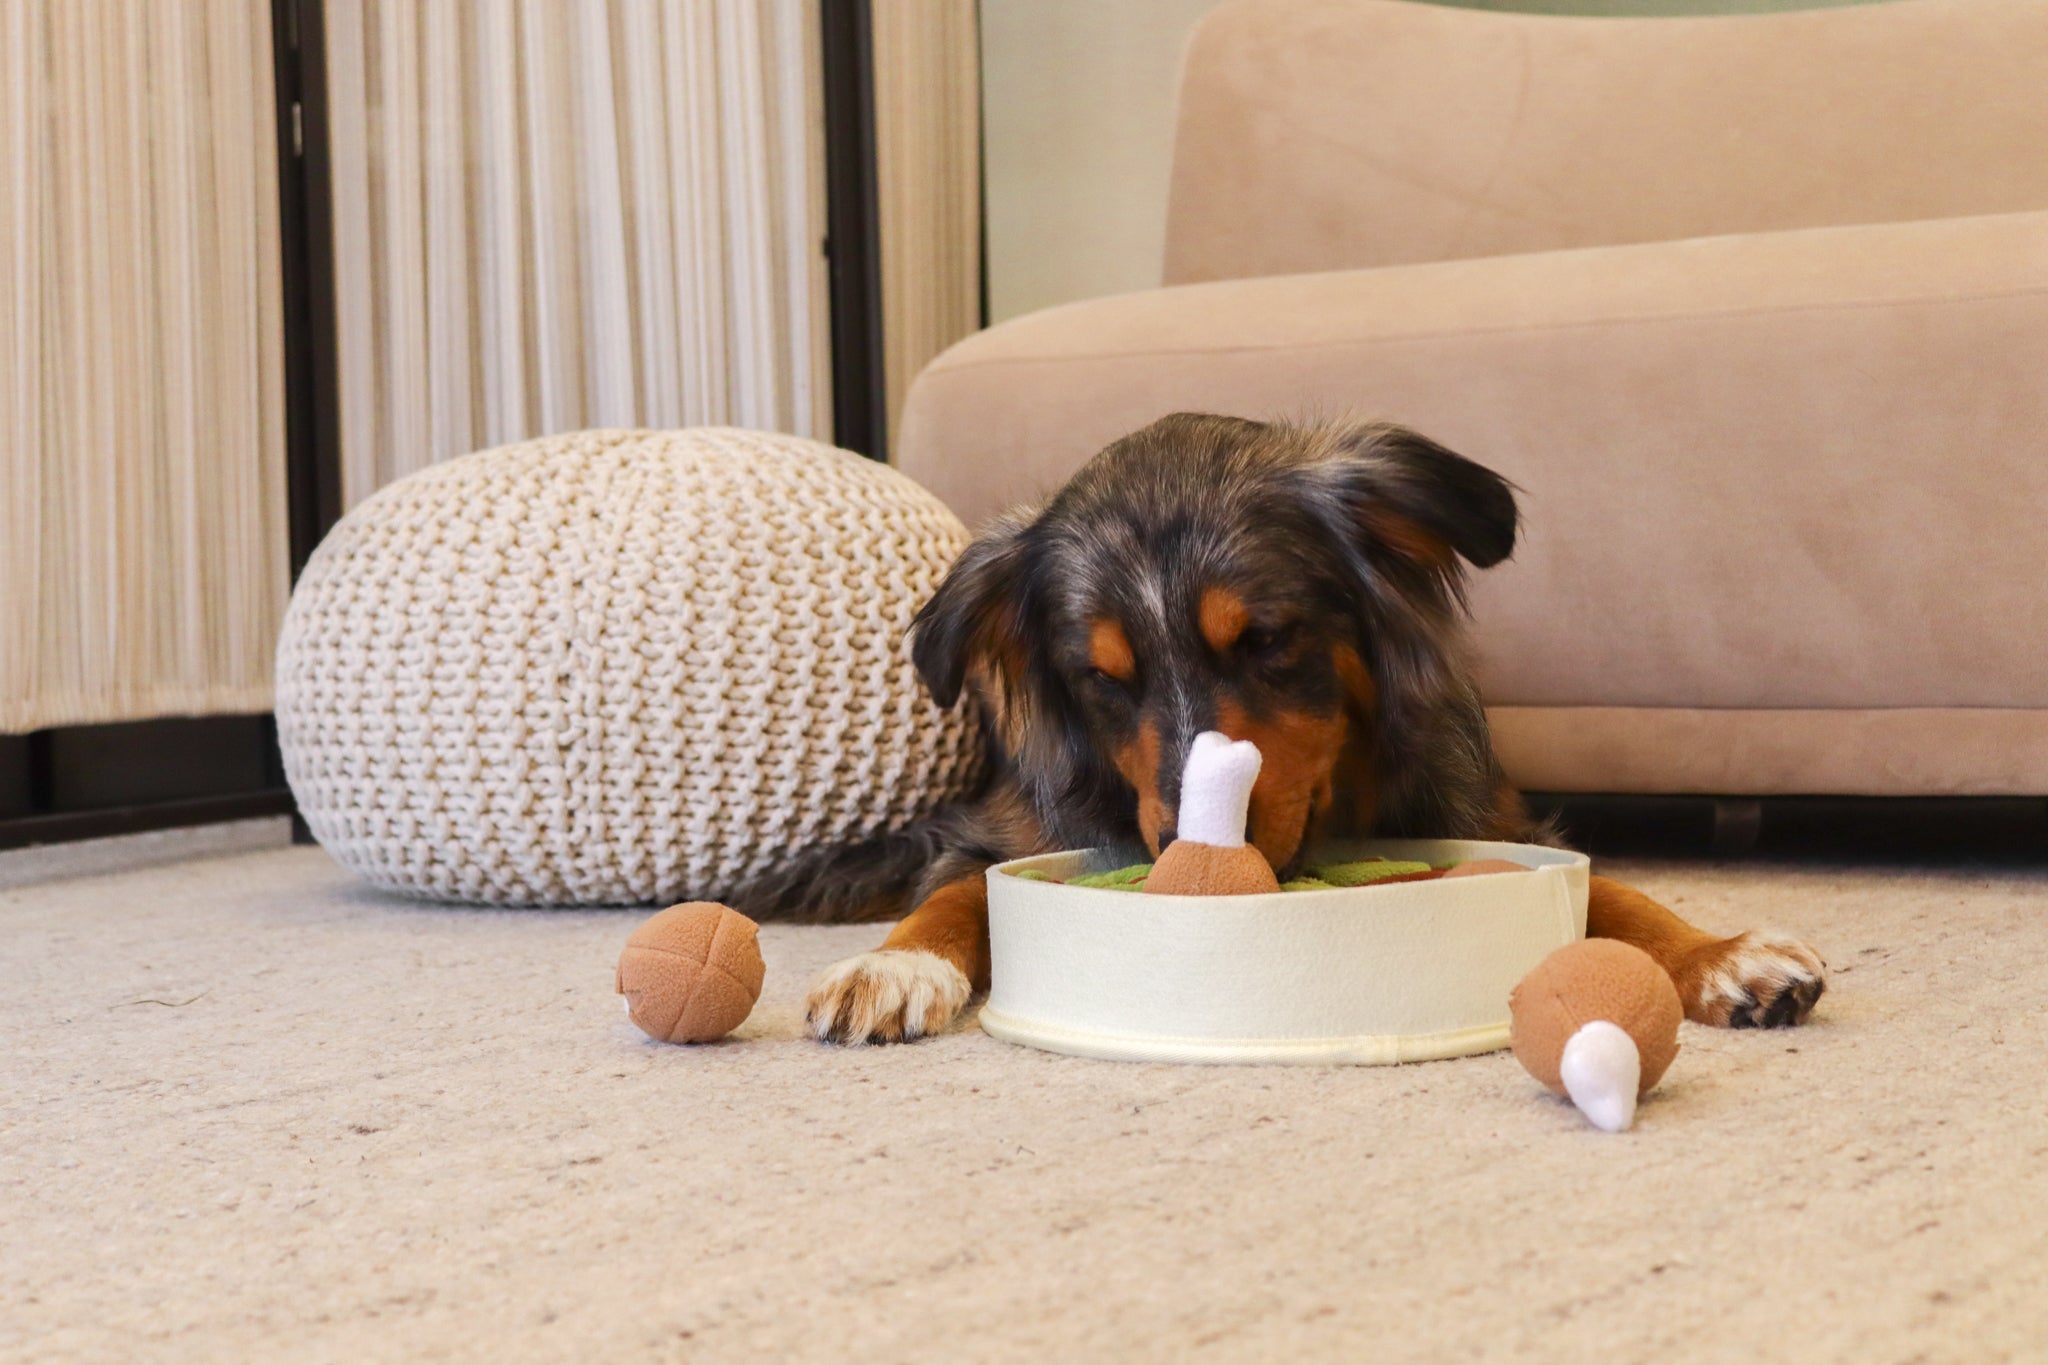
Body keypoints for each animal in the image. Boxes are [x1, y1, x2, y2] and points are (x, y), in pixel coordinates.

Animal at [765, 413, 1826, 1047]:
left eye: (1267, 639)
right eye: (1100, 677)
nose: (1181, 849)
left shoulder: (1492, 816)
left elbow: (1616, 892)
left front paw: (1720, 953)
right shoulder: (1005, 832)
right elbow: (957, 893)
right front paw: (893, 961)